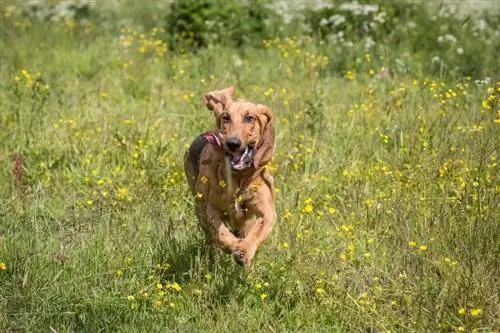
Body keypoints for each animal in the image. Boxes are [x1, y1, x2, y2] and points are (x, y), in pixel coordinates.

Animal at [185, 87, 278, 266]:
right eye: (226, 117)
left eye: (250, 118)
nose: (232, 143)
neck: (239, 179)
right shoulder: (211, 209)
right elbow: (221, 233)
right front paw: (234, 246)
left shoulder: (267, 212)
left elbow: (258, 230)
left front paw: (244, 250)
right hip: (199, 209)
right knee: (211, 239)